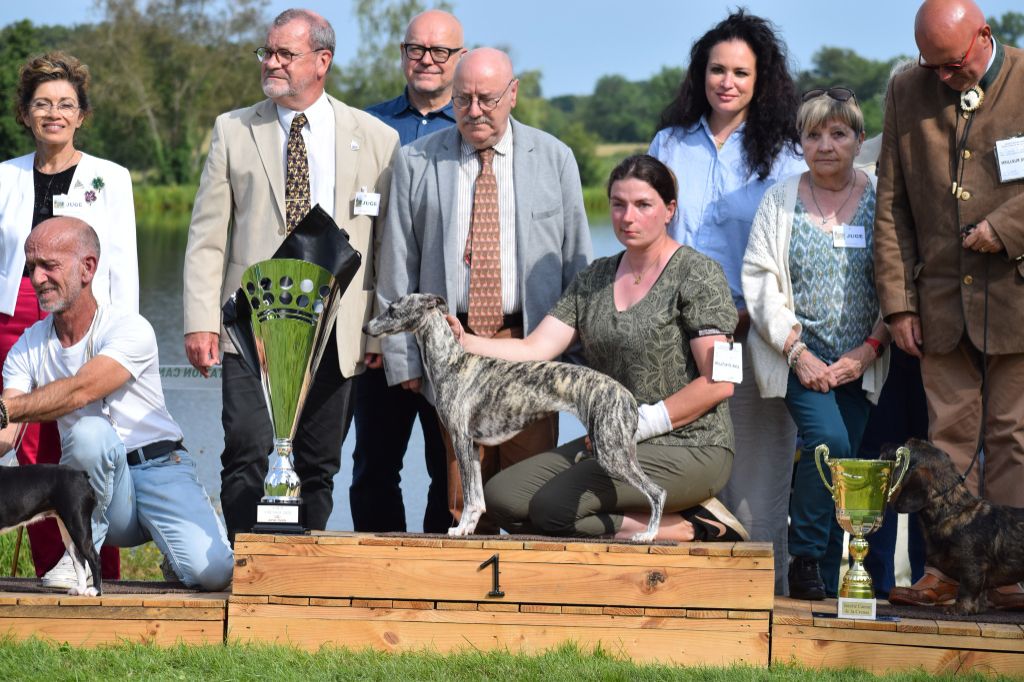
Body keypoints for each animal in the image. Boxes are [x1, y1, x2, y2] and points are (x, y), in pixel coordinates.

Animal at [0, 464, 102, 596]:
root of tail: (81, 474)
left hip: (78, 524)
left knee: (94, 558)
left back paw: (95, 591)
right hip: (68, 530)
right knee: (79, 559)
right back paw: (80, 589)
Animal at [363, 293, 667, 541]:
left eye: (392, 309)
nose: (365, 328)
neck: (451, 363)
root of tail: (625, 395)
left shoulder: (460, 440)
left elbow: (469, 494)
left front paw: (459, 529)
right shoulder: (473, 445)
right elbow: (477, 498)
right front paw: (468, 528)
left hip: (610, 453)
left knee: (657, 492)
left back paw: (648, 534)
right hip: (615, 449)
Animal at [886, 438, 1024, 615]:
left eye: (903, 452)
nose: (883, 447)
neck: (953, 512)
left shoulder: (972, 567)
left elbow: (966, 589)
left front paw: (959, 608)